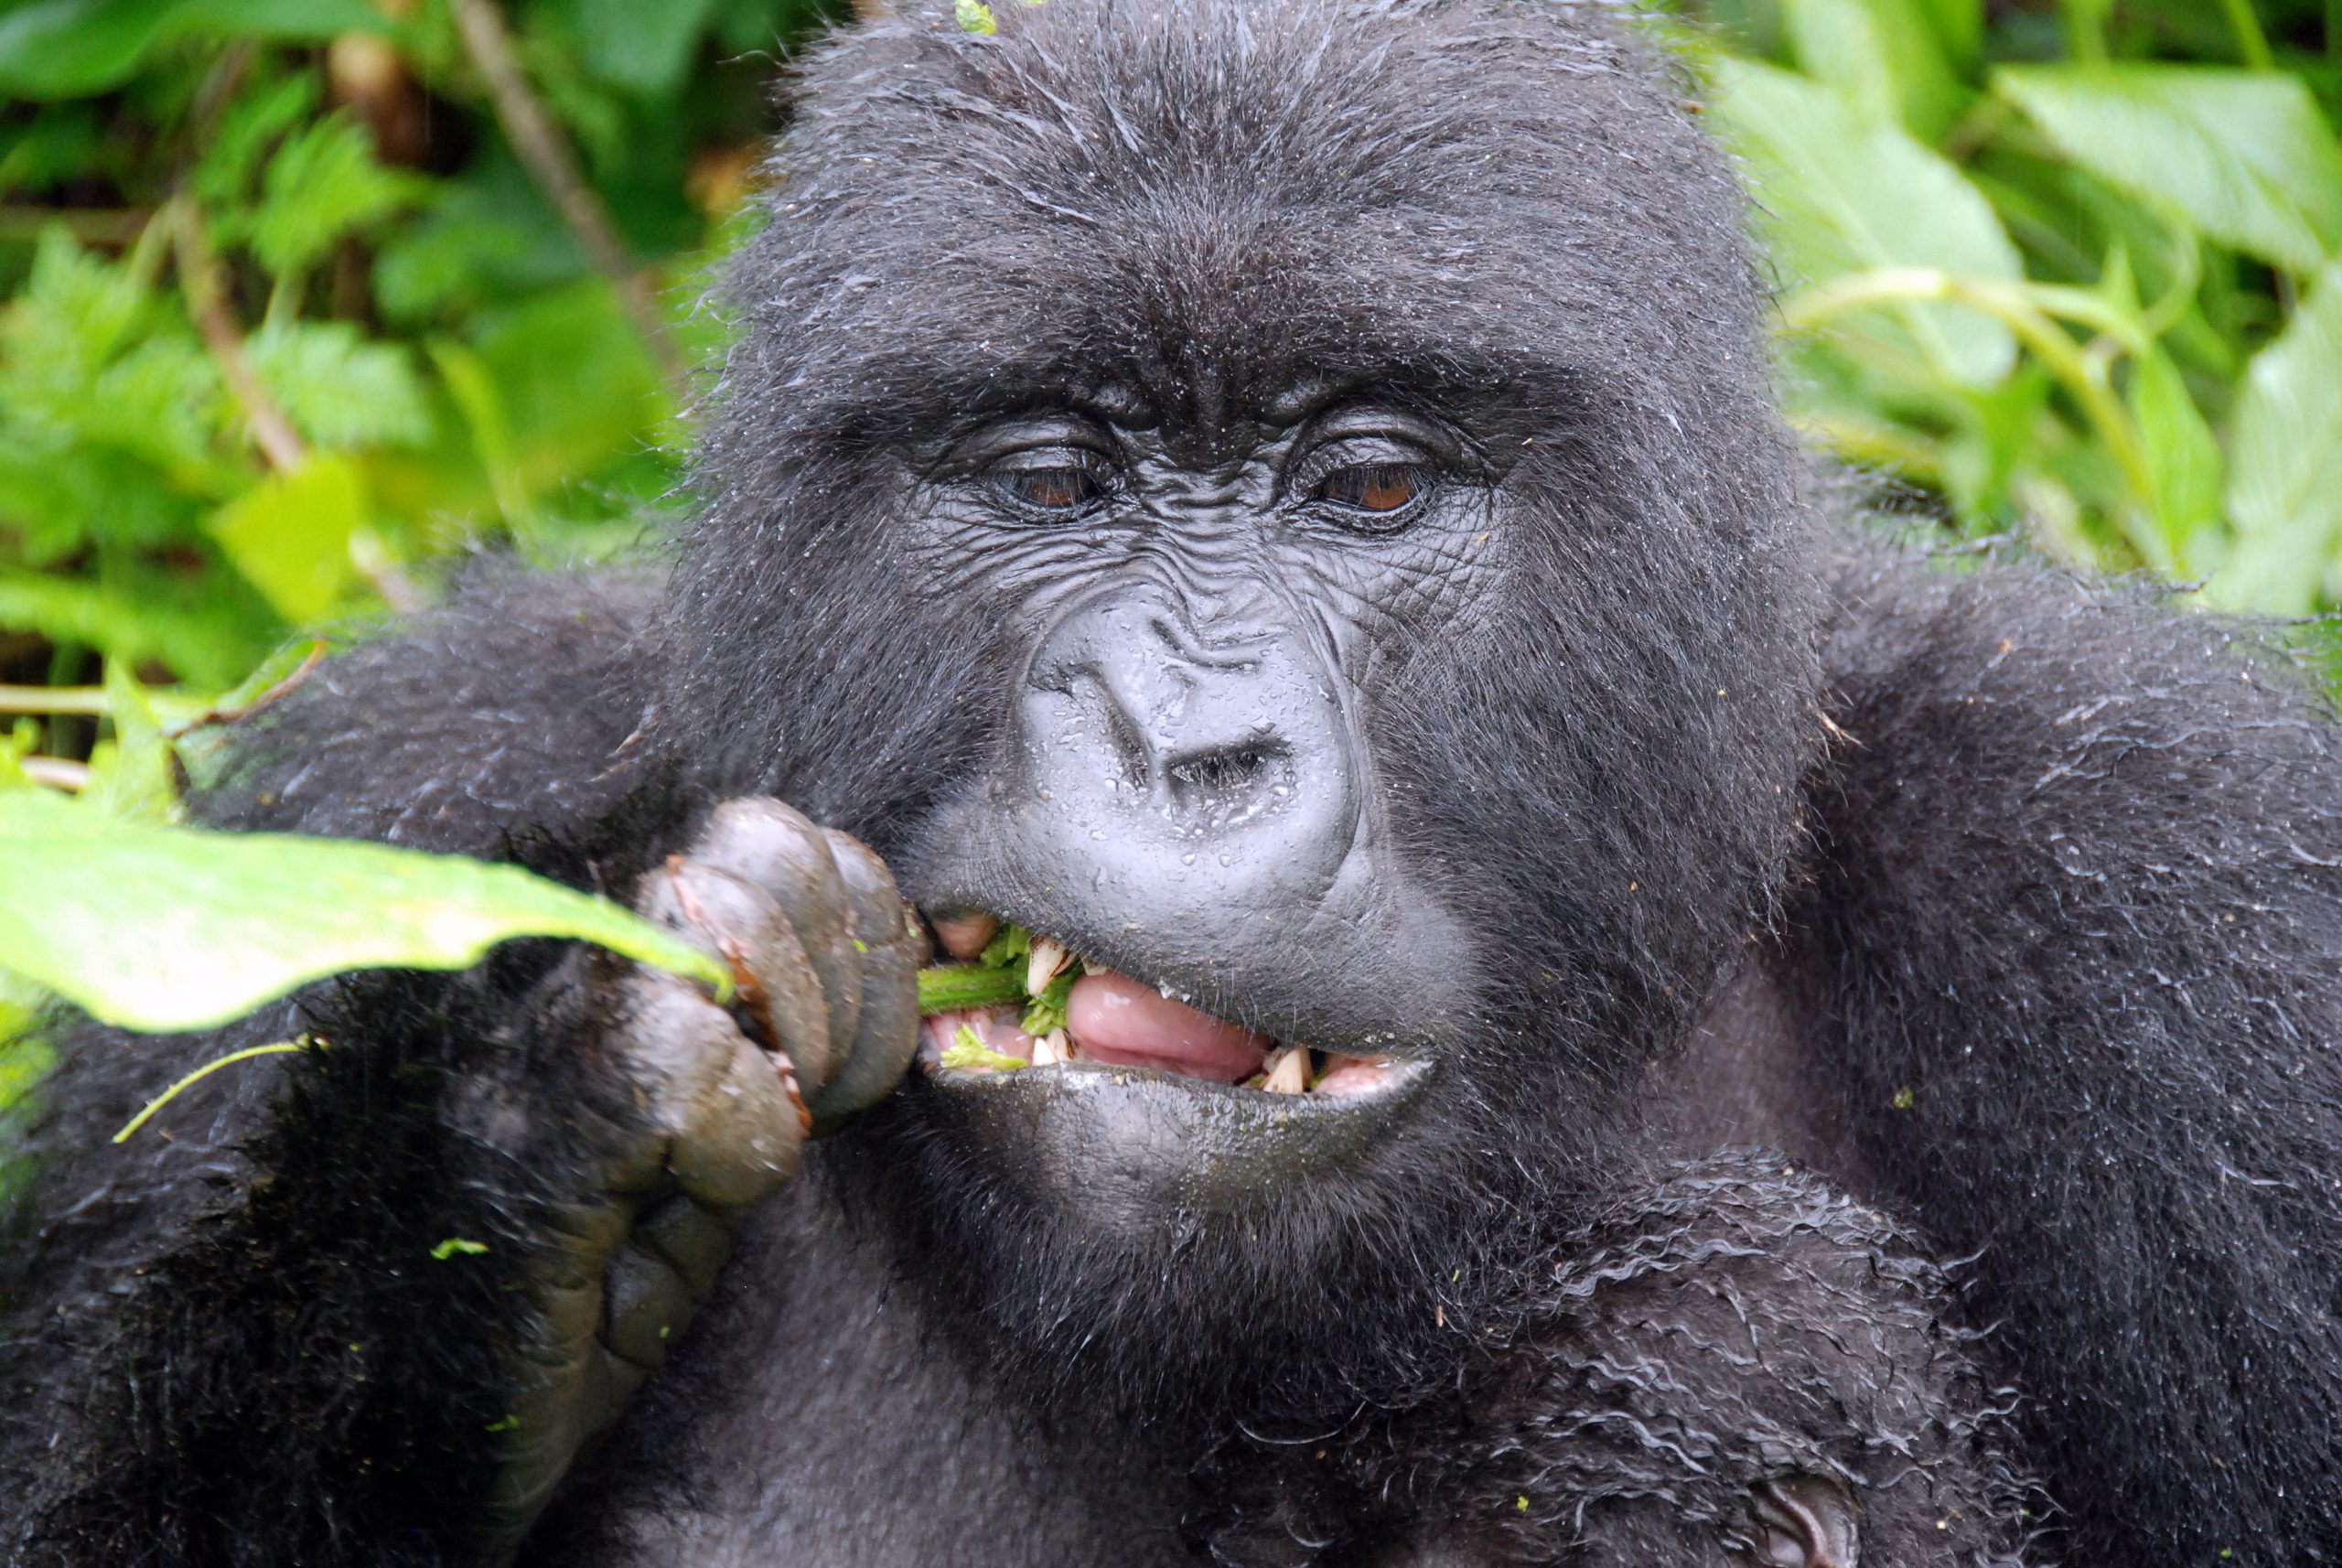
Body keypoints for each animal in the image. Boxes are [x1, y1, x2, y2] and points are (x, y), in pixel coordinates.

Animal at [5, 0, 2342, 1563]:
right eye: (1054, 478)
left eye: (1369, 482)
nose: (1188, 747)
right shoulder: (374, 798)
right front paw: (515, 1155)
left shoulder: (2178, 905)